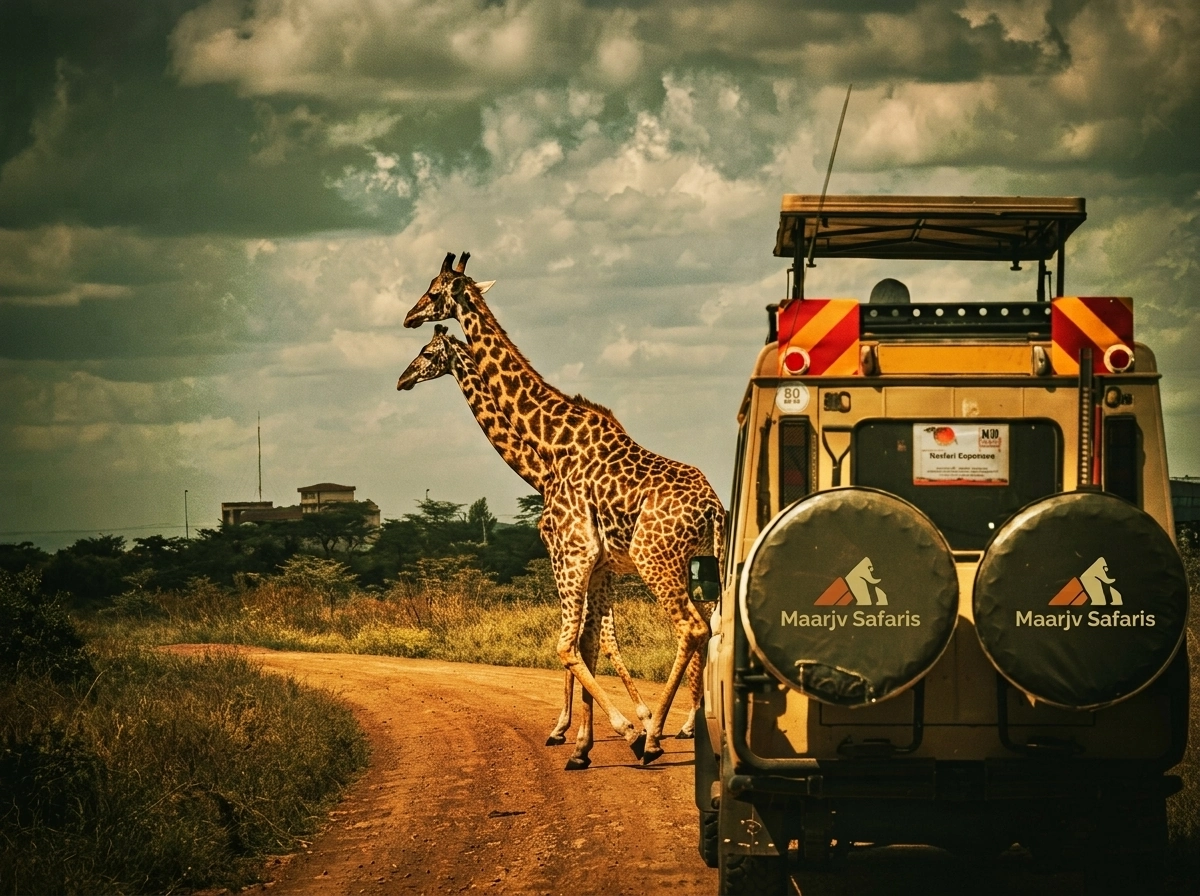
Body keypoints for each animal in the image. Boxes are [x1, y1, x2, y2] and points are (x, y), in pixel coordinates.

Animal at [396, 323, 653, 754]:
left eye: (428, 353)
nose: (403, 380)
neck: (542, 469)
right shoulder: (590, 565)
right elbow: (595, 638)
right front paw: (584, 726)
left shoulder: (568, 556)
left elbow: (585, 639)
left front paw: (579, 726)